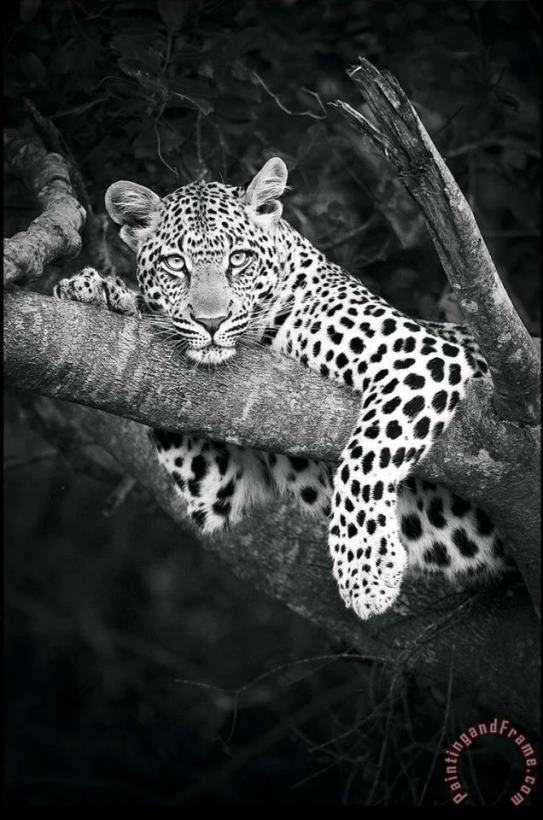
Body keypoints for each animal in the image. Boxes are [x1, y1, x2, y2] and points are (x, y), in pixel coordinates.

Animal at [54, 157, 507, 620]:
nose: (212, 322)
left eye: (239, 260)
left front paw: (365, 569)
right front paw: (100, 291)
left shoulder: (419, 355)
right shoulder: (218, 483)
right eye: (176, 264)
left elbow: (366, 456)